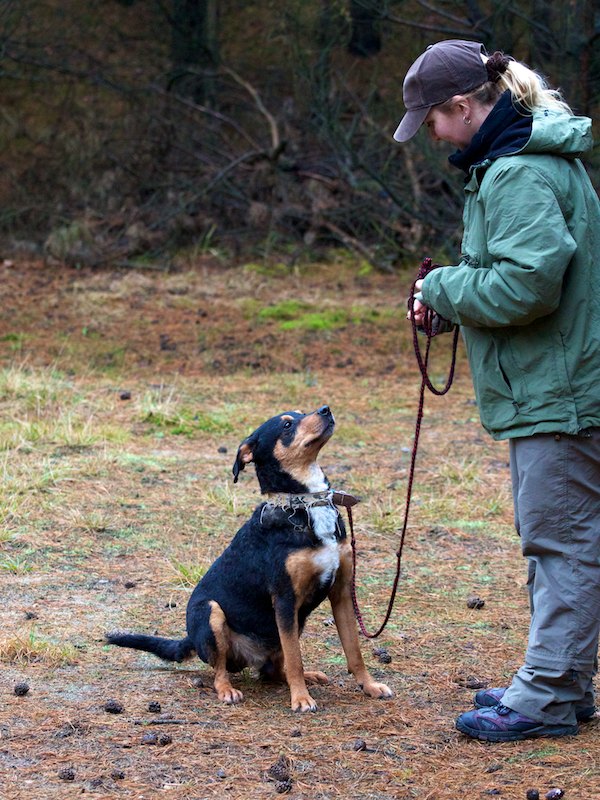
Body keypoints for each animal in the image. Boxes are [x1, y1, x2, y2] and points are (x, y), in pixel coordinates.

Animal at [107, 405, 393, 711]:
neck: (304, 503)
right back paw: (228, 690)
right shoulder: (284, 598)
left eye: (302, 412)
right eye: (287, 425)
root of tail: (190, 639)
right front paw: (301, 699)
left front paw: (370, 686)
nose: (325, 409)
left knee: (274, 671)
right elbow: (295, 658)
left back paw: (309, 676)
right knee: (221, 671)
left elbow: (354, 651)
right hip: (211, 612)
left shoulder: (341, 591)